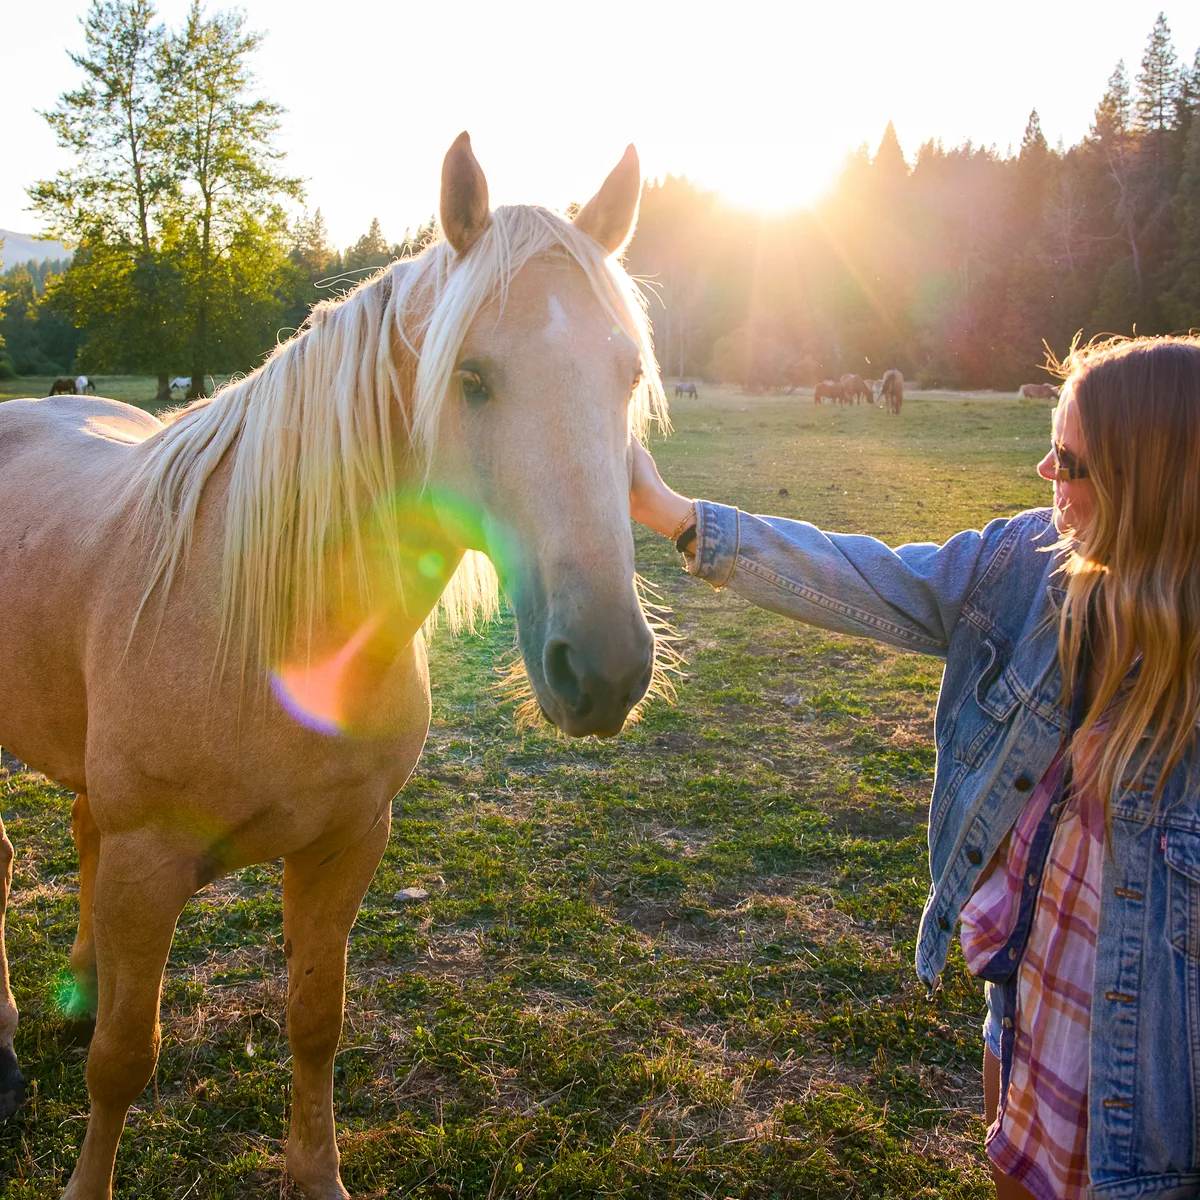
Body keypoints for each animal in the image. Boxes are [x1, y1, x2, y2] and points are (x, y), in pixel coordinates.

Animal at [0, 132, 668, 1200]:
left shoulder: (346, 845)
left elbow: (316, 1024)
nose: (603, 668)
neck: (265, 617)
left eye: (626, 374)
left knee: (77, 830)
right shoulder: (151, 868)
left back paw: (84, 984)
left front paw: (316, 1176)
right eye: (471, 377)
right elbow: (123, 1063)